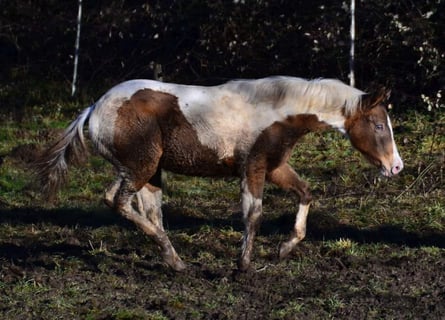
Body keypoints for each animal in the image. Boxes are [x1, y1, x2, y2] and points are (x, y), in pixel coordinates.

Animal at [34, 76, 402, 272]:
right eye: (378, 125)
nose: (396, 166)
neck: (278, 110)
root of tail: (94, 109)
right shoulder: (252, 167)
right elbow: (253, 215)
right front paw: (244, 265)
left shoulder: (275, 167)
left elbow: (305, 192)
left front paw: (284, 249)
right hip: (141, 167)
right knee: (117, 201)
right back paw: (171, 256)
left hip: (148, 172)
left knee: (149, 211)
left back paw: (175, 261)